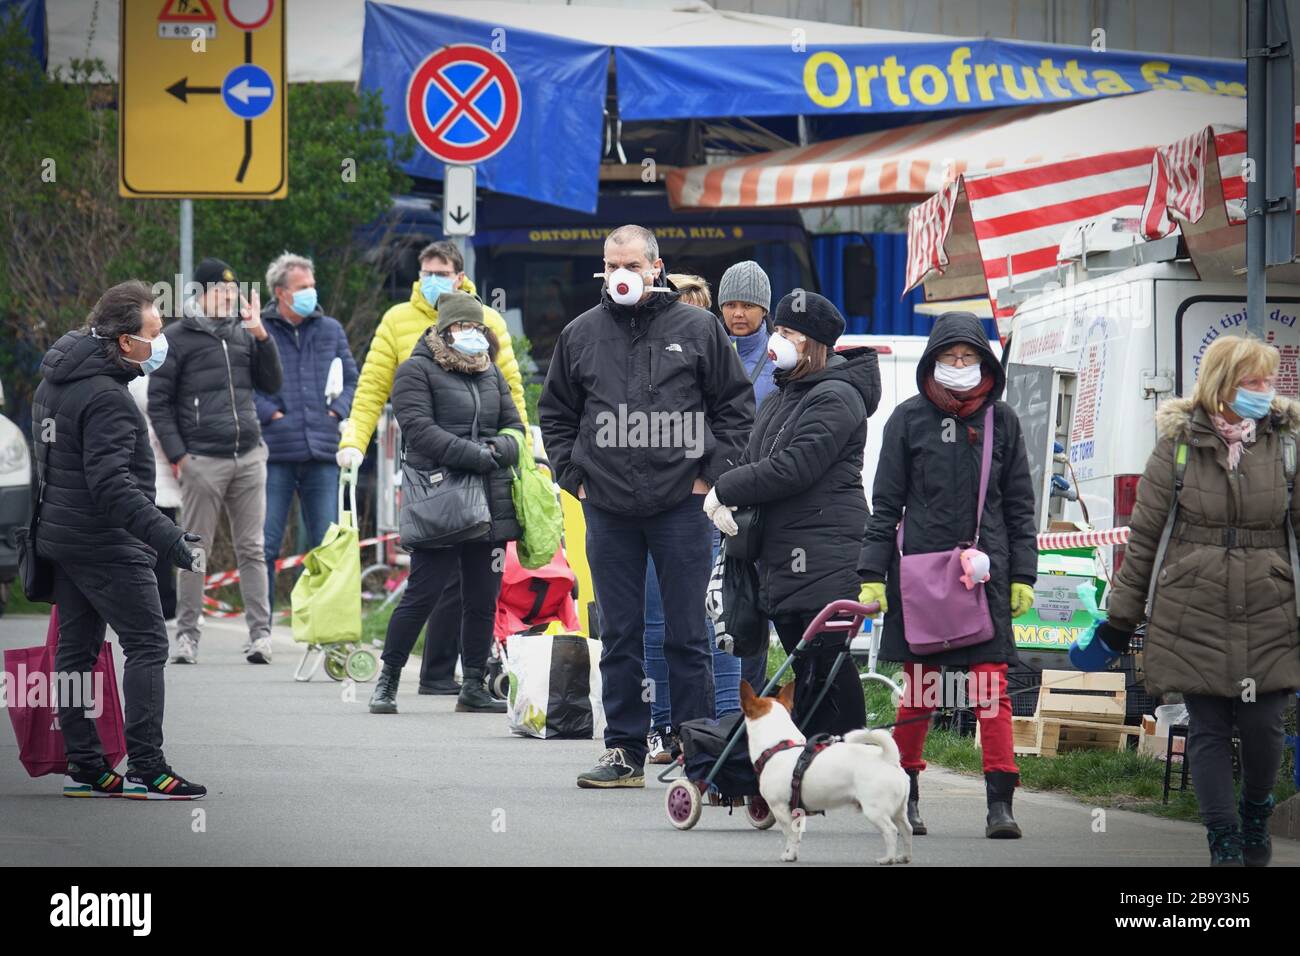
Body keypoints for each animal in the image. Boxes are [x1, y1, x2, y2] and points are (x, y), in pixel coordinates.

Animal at [743, 681, 915, 868]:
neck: (779, 746)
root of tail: (889, 758)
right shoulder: (797, 811)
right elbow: (797, 835)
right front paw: (793, 854)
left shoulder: (780, 808)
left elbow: (790, 834)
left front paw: (788, 855)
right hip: (899, 810)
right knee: (907, 829)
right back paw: (905, 856)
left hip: (875, 810)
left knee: (891, 831)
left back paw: (888, 858)